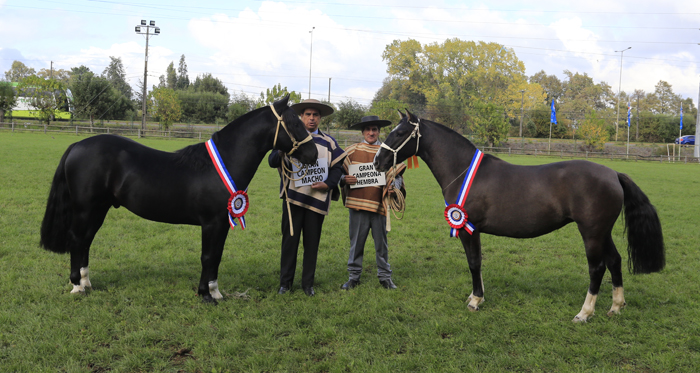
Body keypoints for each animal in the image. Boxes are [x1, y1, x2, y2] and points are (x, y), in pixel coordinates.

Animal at [39, 96, 318, 302]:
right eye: (294, 123)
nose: (313, 153)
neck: (224, 162)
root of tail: (77, 145)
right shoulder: (212, 223)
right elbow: (208, 256)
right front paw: (205, 295)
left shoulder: (222, 223)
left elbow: (216, 256)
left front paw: (216, 293)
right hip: (85, 208)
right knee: (77, 240)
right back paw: (77, 286)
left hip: (99, 209)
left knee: (85, 241)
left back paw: (86, 283)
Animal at [374, 109, 664, 322]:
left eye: (400, 133)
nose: (378, 161)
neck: (464, 169)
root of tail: (613, 173)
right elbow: (478, 262)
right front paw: (477, 296)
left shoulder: (468, 228)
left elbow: (473, 262)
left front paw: (475, 300)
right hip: (603, 232)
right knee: (615, 261)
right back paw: (615, 306)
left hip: (591, 232)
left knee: (597, 267)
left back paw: (584, 313)